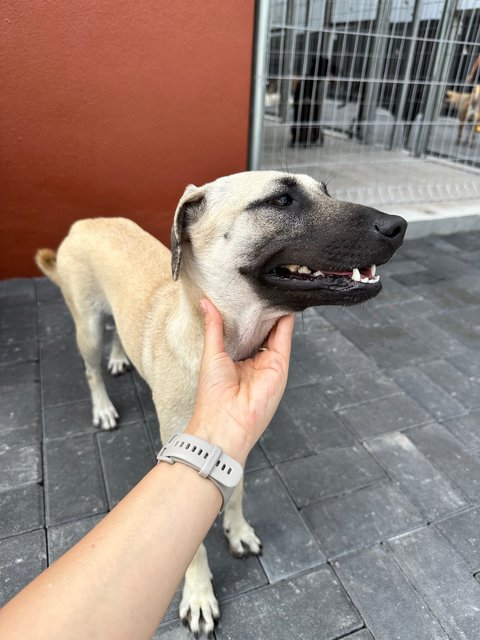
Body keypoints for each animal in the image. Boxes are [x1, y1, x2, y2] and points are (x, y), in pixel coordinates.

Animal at [35, 170, 406, 636]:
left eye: (326, 191)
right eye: (281, 200)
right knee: (90, 370)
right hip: (86, 326)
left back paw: (121, 357)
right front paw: (197, 593)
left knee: (118, 332)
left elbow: (237, 489)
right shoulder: (180, 449)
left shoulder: (239, 434)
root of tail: (86, 223)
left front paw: (237, 529)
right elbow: (190, 542)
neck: (225, 343)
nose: (398, 226)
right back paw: (102, 407)